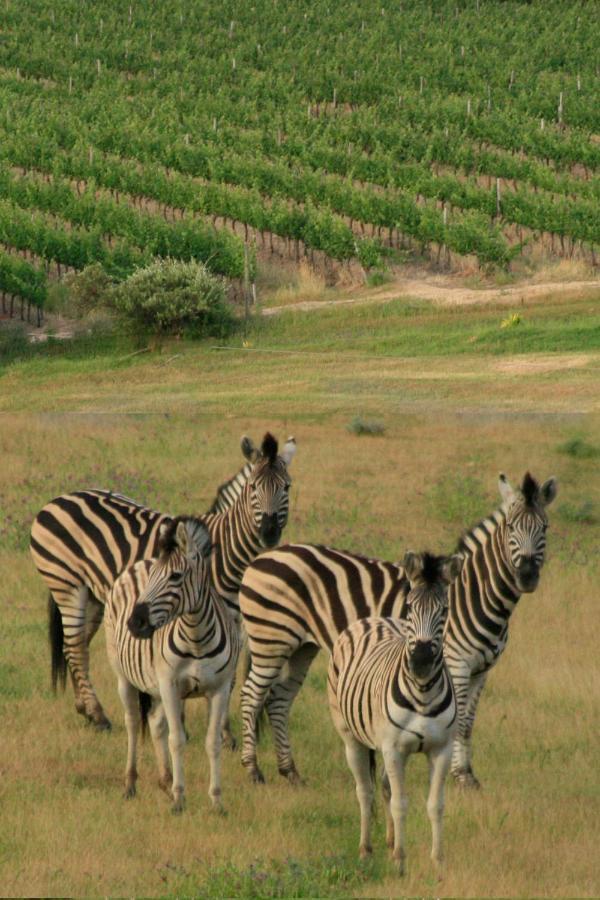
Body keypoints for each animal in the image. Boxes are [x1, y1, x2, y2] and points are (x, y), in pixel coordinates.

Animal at [32, 434, 296, 732]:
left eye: (286, 487)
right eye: (253, 487)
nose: (269, 532)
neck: (226, 553)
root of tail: (61, 498)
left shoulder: (231, 623)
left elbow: (229, 678)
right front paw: (184, 723)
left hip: (93, 596)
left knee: (75, 646)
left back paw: (85, 709)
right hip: (67, 585)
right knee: (76, 647)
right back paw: (98, 717)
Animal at [104, 512, 240, 816]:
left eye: (176, 576)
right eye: (154, 576)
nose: (135, 623)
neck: (197, 638)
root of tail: (139, 562)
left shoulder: (220, 689)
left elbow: (212, 742)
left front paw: (217, 801)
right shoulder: (169, 684)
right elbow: (177, 740)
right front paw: (180, 800)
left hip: (154, 685)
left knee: (155, 724)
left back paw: (165, 781)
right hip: (123, 677)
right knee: (133, 723)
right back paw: (131, 784)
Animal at [239, 472, 556, 788]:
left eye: (545, 528)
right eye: (511, 527)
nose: (527, 576)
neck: (475, 594)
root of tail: (263, 557)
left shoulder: (481, 671)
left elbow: (467, 724)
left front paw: (468, 776)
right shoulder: (456, 664)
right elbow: (458, 721)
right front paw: (460, 776)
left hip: (301, 647)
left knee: (278, 701)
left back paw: (291, 772)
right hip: (271, 639)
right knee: (251, 696)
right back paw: (253, 771)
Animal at [330, 552, 462, 876]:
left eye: (444, 611)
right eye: (411, 607)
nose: (422, 659)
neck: (423, 692)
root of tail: (374, 618)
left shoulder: (441, 749)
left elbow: (435, 804)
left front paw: (437, 862)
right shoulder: (394, 749)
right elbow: (401, 804)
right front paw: (401, 863)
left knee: (385, 788)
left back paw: (389, 842)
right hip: (351, 737)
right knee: (365, 791)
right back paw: (366, 850)